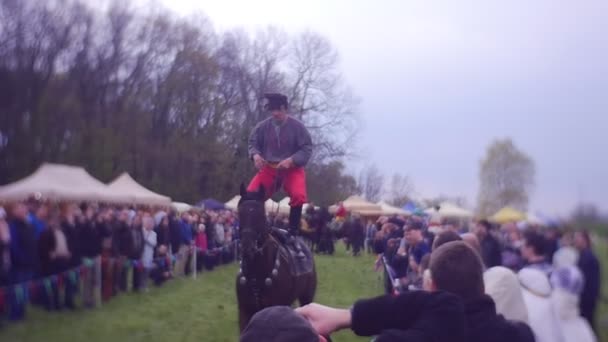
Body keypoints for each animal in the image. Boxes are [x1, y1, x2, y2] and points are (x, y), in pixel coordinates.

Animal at [235, 184, 318, 332]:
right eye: (240, 213)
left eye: (261, 214)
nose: (247, 246)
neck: (256, 273)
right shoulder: (244, 312)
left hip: (306, 297)